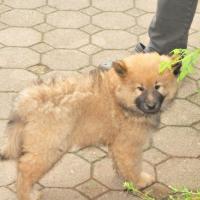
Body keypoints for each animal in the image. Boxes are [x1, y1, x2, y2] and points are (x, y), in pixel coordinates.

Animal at [0, 53, 180, 200]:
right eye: (140, 88)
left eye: (157, 86)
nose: (151, 106)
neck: (118, 96)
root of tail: (27, 100)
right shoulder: (129, 145)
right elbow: (134, 165)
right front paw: (139, 181)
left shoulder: (117, 144)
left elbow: (120, 163)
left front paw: (124, 179)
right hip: (48, 147)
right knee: (25, 170)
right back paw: (27, 195)